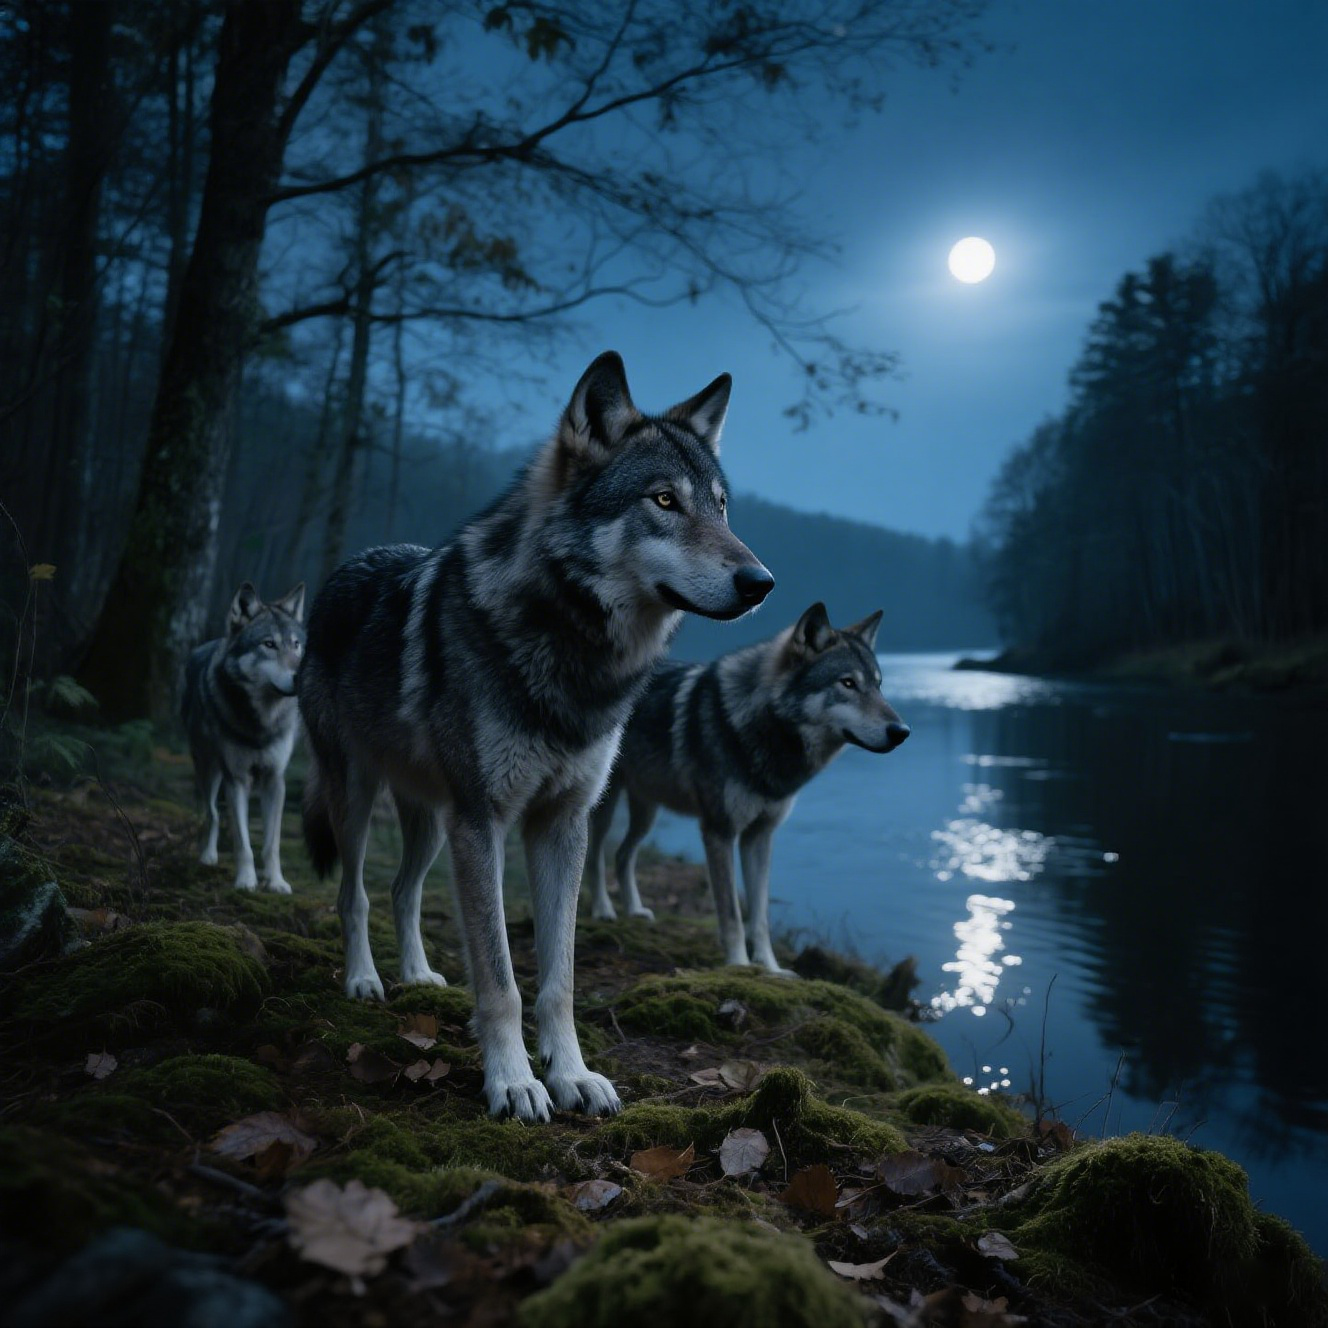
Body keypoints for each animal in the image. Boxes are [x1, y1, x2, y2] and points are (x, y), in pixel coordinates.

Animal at [182, 581, 306, 894]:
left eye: (296, 644)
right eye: (269, 644)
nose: (301, 677)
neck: (262, 721)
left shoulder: (275, 780)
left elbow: (272, 843)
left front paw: (275, 882)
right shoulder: (236, 778)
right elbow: (243, 841)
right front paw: (246, 880)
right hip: (209, 770)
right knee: (212, 813)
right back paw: (207, 856)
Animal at [298, 352, 773, 1121]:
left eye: (722, 507)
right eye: (664, 501)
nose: (761, 581)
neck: (574, 657)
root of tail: (343, 566)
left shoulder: (562, 823)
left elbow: (559, 978)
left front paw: (572, 1074)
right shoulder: (484, 821)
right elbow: (500, 980)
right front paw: (514, 1082)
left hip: (431, 823)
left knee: (403, 890)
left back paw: (418, 975)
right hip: (360, 797)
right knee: (355, 894)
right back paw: (365, 980)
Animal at [587, 602, 909, 973]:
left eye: (879, 686)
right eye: (848, 683)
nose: (902, 731)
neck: (763, 729)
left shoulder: (759, 836)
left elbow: (760, 915)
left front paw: (771, 969)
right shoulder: (719, 832)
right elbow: (731, 914)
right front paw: (739, 966)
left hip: (647, 812)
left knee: (623, 854)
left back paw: (635, 911)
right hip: (605, 808)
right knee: (595, 856)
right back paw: (603, 910)